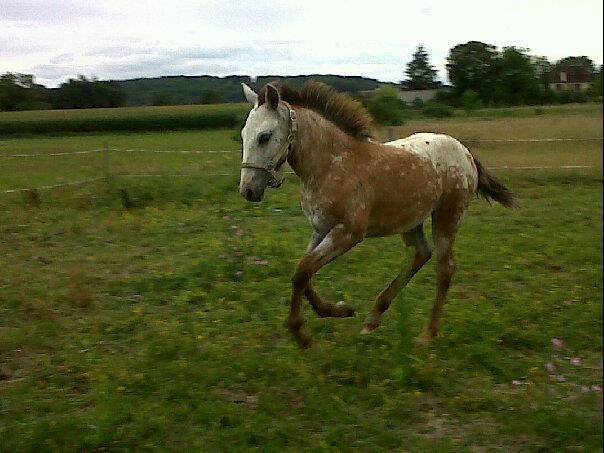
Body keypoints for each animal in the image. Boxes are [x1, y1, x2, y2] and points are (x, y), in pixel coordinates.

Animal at [238, 80, 512, 346]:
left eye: (264, 136)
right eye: (243, 134)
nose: (248, 190)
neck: (332, 164)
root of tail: (465, 152)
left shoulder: (348, 233)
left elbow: (302, 272)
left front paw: (300, 332)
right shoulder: (321, 229)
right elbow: (303, 273)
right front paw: (339, 310)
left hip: (447, 217)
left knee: (445, 269)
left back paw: (426, 334)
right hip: (412, 218)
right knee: (422, 254)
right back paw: (373, 318)